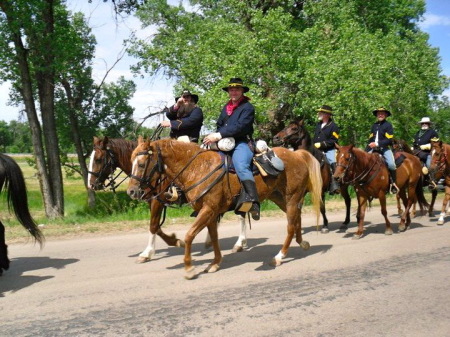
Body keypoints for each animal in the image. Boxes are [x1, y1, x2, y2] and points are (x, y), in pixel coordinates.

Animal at [87, 135, 250, 262]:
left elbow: (153, 225)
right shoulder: (153, 202)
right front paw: (176, 241)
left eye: (99, 159)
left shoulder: (156, 201)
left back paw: (239, 243)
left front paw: (147, 253)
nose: (91, 185)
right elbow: (156, 227)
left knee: (241, 215)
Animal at [127, 136, 324, 278]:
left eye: (142, 164)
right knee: (297, 218)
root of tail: (298, 155)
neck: (197, 168)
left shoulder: (207, 209)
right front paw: (215, 263)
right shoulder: (210, 212)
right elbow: (214, 237)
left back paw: (279, 257)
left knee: (290, 225)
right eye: (131, 161)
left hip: (291, 198)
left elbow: (189, 235)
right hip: (279, 198)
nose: (131, 191)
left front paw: (189, 267)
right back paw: (302, 242)